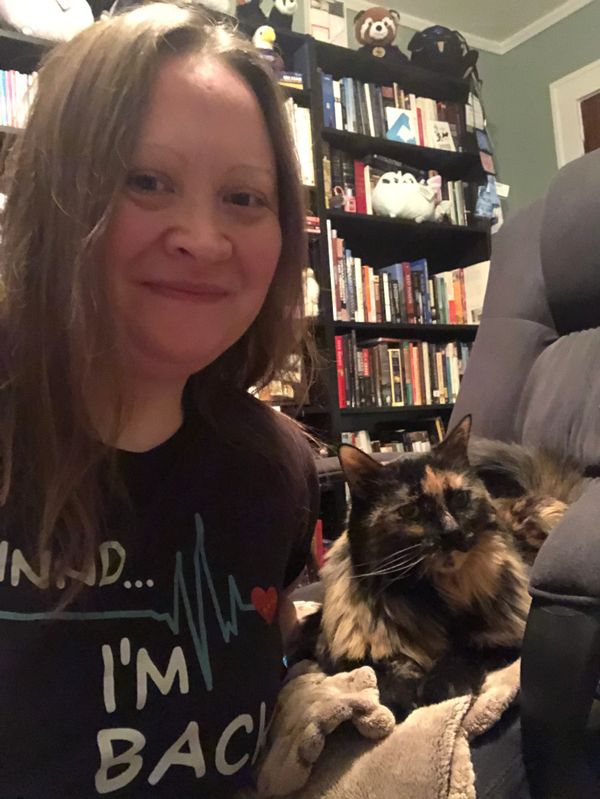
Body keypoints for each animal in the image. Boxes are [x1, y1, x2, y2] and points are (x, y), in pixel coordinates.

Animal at [296, 416, 584, 720]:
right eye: (411, 512)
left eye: (459, 499)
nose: (452, 532)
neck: (432, 596)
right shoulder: (348, 650)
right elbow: (384, 667)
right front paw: (404, 696)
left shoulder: (507, 635)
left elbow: (466, 650)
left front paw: (439, 687)